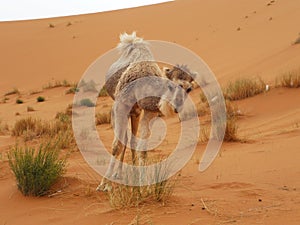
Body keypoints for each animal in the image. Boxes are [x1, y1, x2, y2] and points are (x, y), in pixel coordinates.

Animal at [96, 31, 195, 191]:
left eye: (189, 89)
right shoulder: (121, 105)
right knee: (123, 139)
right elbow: (116, 146)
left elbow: (142, 149)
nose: (176, 106)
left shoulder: (150, 112)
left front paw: (143, 186)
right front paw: (104, 185)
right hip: (119, 108)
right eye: (170, 85)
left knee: (131, 139)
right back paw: (117, 174)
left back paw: (130, 173)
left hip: (135, 111)